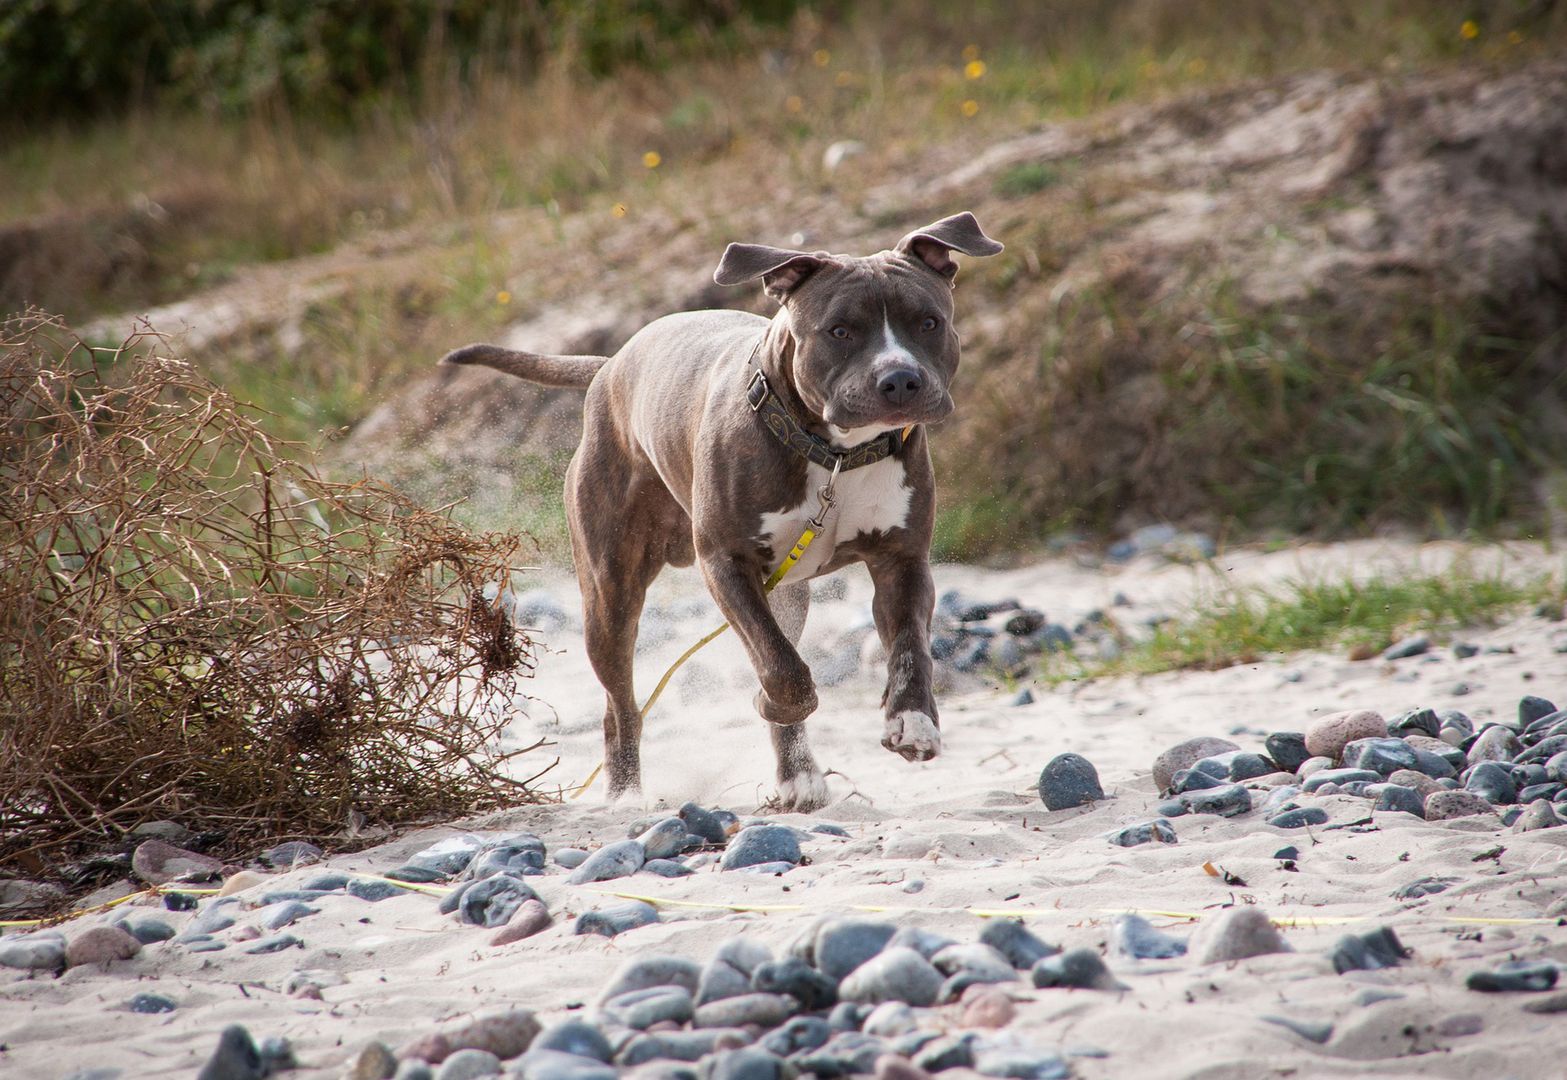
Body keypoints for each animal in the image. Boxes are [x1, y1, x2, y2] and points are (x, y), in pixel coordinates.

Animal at [441, 213, 1002, 808]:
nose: (899, 379)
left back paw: (797, 776)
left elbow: (910, 650)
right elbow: (782, 669)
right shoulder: (727, 564)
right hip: (610, 593)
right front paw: (774, 701)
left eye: (929, 322)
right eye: (840, 331)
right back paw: (627, 796)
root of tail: (612, 364)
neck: (835, 455)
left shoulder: (902, 560)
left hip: (786, 594)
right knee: (621, 706)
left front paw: (912, 724)